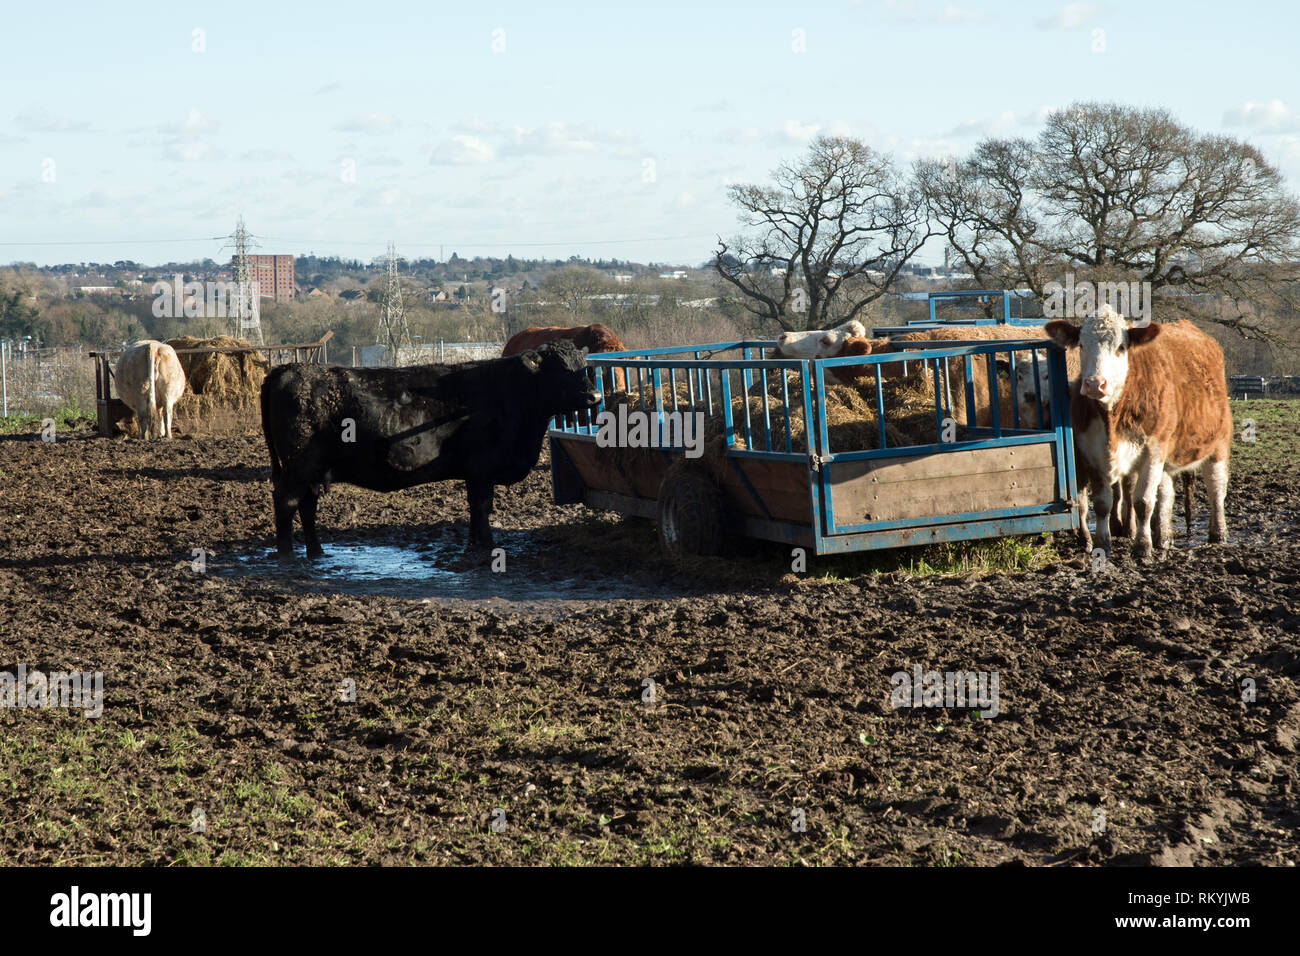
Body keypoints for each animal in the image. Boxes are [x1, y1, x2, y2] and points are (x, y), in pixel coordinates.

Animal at [260, 340, 603, 556]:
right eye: (559, 368)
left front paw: (473, 543)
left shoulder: (474, 472)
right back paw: (287, 555)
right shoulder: (482, 468)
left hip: (312, 470)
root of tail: (287, 368)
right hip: (299, 466)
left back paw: (317, 552)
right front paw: (486, 546)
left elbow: (474, 507)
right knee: (286, 502)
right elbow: (482, 505)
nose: (595, 397)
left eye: (583, 366)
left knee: (307, 505)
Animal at [1040, 306, 1232, 561]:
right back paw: (1163, 538)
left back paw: (1217, 534)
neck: (1112, 418)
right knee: (1166, 494)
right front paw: (1103, 544)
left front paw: (1142, 547)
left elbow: (1143, 502)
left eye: (1121, 347)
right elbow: (1102, 503)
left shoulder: (1153, 451)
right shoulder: (1091, 452)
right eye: (1081, 345)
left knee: (1216, 487)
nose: (1095, 384)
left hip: (1218, 442)